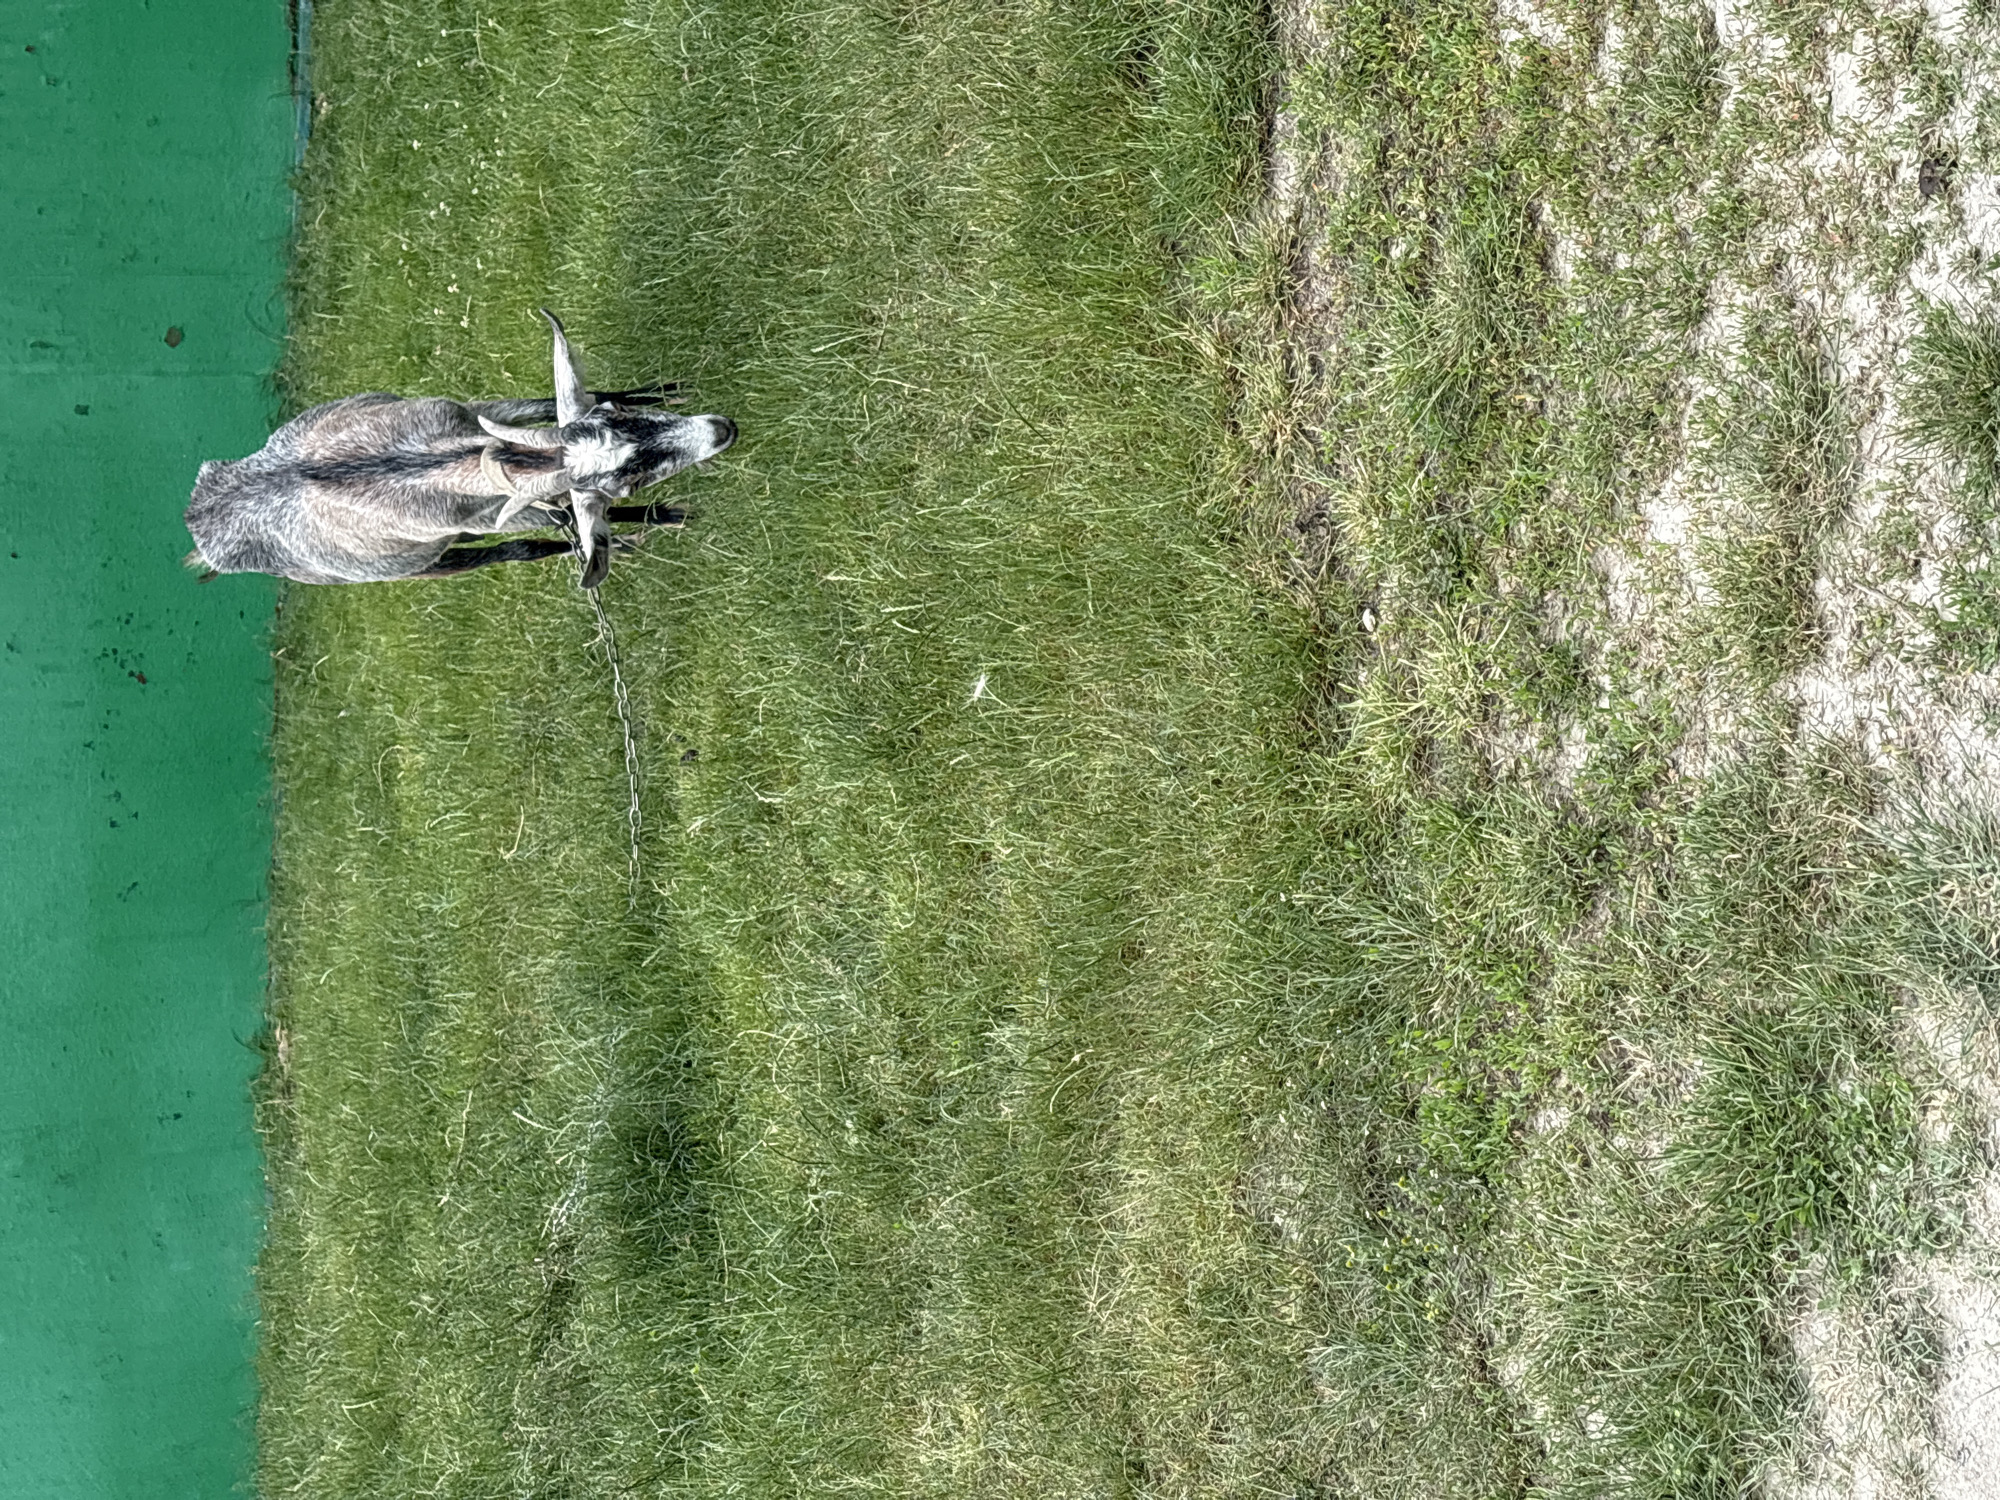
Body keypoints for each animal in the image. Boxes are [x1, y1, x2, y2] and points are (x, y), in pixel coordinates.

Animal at [184, 310, 736, 590]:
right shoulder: (497, 514)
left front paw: (662, 391)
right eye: (628, 479)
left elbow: (541, 406)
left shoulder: (475, 412)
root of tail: (196, 516)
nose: (722, 428)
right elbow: (542, 529)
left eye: (619, 417)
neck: (434, 464)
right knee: (504, 552)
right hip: (400, 568)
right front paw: (656, 520)